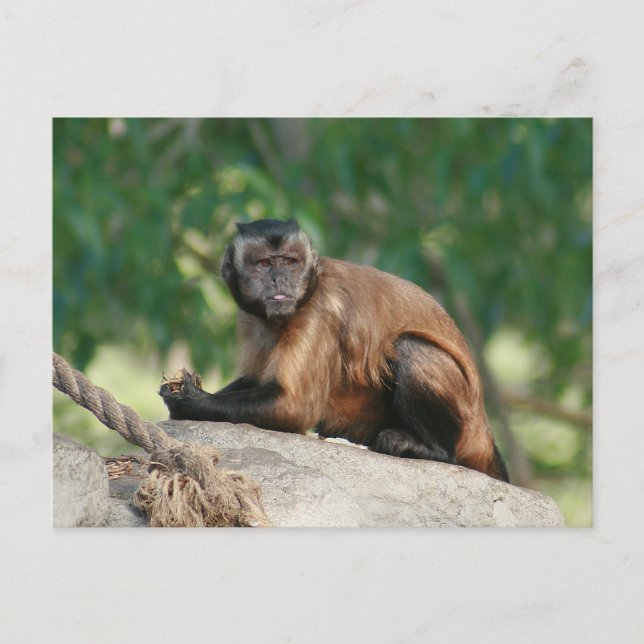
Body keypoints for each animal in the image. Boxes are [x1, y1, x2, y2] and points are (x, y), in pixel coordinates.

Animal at [160, 218, 509, 482]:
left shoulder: (319, 310)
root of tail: (485, 432)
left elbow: (293, 407)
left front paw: (191, 402)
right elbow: (258, 380)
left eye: (290, 262)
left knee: (410, 347)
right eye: (264, 264)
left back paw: (432, 451)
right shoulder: (250, 318)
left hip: (466, 428)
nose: (280, 279)